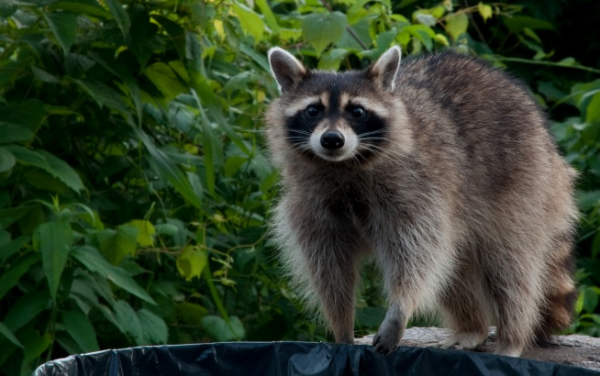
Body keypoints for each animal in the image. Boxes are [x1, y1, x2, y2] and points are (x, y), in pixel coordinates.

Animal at [264, 45, 580, 356]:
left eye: (357, 111)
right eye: (312, 110)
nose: (332, 139)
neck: (345, 164)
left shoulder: (416, 189)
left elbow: (417, 254)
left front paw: (399, 309)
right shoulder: (312, 205)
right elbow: (329, 266)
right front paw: (341, 323)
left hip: (523, 183)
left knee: (511, 265)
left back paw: (511, 337)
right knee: (455, 267)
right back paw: (472, 328)